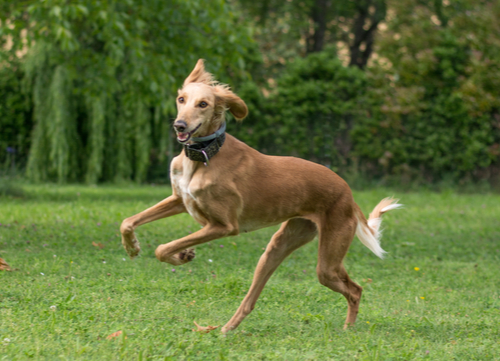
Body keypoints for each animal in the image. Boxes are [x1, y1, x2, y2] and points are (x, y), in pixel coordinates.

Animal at [121, 59, 402, 332]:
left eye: (203, 104)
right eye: (181, 99)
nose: (180, 125)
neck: (204, 156)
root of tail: (348, 192)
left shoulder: (224, 226)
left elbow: (161, 248)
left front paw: (180, 255)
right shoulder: (180, 200)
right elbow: (127, 222)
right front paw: (135, 248)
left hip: (328, 261)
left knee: (355, 289)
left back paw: (348, 329)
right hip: (279, 247)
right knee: (250, 301)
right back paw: (226, 328)